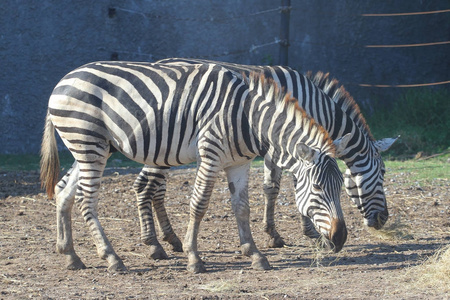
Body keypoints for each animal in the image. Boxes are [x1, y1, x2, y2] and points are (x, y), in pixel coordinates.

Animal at [39, 62, 348, 274]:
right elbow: (199, 204)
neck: (247, 118)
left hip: (90, 147)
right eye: (318, 187)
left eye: (342, 188)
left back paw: (70, 255)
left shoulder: (240, 163)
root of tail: (62, 80)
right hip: (89, 143)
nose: (341, 237)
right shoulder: (209, 154)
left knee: (63, 191)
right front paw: (193, 258)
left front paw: (255, 254)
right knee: (86, 200)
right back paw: (112, 258)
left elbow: (242, 208)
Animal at [131, 57, 398, 254]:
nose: (384, 219)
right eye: (383, 173)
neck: (314, 105)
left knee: (155, 188)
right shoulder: (288, 144)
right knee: (146, 185)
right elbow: (288, 187)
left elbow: (271, 188)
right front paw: (308, 233)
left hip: (165, 150)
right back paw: (155, 243)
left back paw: (171, 238)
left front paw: (274, 235)